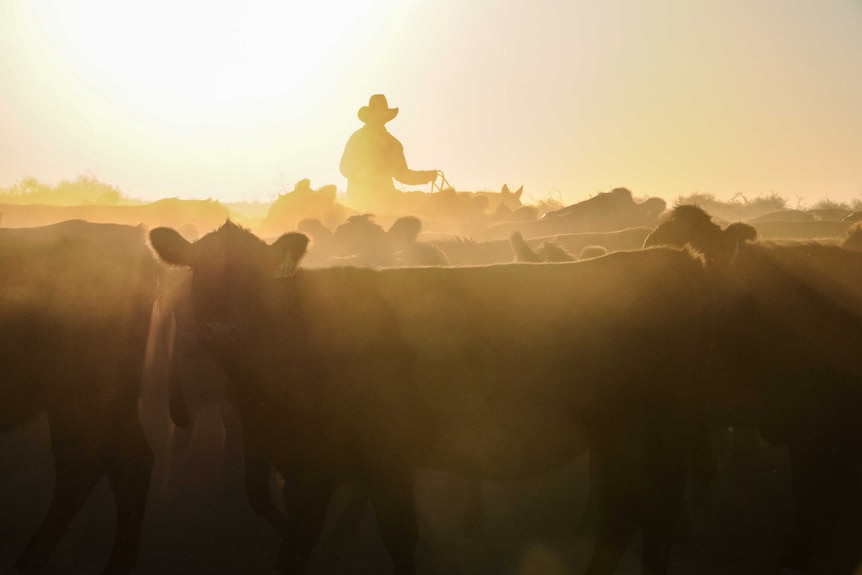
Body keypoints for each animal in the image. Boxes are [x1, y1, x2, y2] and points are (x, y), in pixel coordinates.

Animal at [150, 220, 716, 575]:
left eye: (257, 276)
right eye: (199, 271)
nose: (222, 330)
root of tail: (675, 259)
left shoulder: (388, 457)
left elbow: (400, 540)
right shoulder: (308, 469)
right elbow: (294, 548)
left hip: (651, 432)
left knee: (644, 515)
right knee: (632, 516)